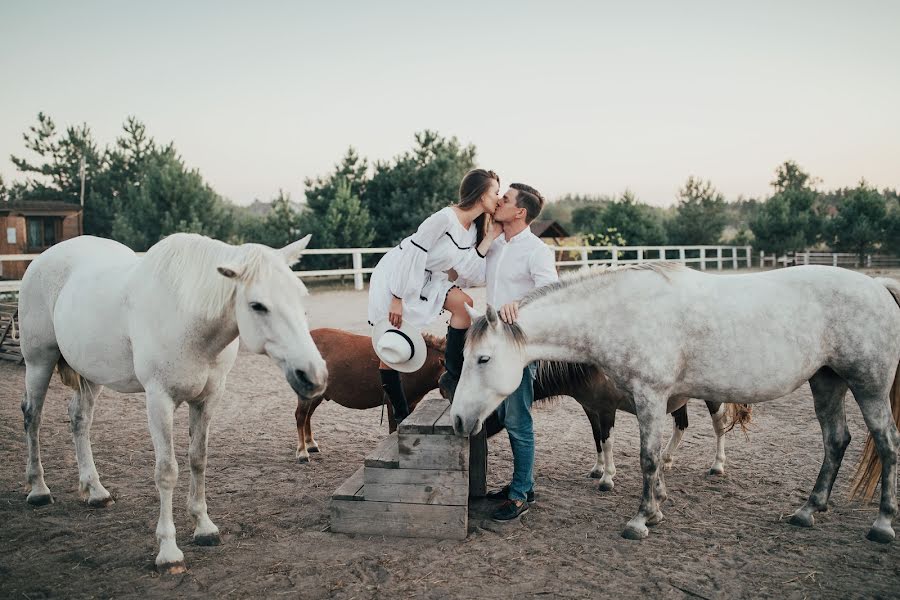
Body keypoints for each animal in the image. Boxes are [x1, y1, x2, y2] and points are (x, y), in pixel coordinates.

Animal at [19, 233, 328, 572]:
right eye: (257, 305)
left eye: (301, 296)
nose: (313, 375)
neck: (187, 316)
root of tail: (44, 258)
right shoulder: (159, 399)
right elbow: (167, 471)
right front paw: (168, 552)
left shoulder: (207, 400)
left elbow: (198, 460)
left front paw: (204, 527)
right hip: (39, 361)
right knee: (33, 418)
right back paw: (38, 489)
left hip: (90, 374)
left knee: (79, 419)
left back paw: (96, 491)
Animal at [296, 330, 446, 462]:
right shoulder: (392, 404)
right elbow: (393, 429)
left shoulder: (410, 405)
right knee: (301, 416)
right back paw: (302, 452)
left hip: (318, 394)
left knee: (308, 415)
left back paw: (310, 444)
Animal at [454, 264, 900, 540]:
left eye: (483, 359)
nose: (458, 420)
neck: (620, 312)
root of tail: (880, 287)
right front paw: (654, 509)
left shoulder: (649, 397)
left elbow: (648, 458)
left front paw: (640, 519)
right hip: (827, 382)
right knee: (836, 440)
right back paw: (809, 510)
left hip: (869, 387)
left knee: (887, 443)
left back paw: (882, 524)